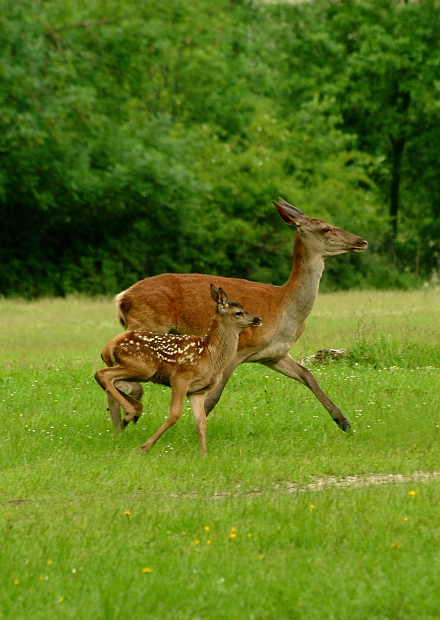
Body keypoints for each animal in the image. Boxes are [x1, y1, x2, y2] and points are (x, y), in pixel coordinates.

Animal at [94, 286, 262, 456]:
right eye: (239, 312)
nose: (258, 319)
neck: (209, 354)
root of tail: (109, 346)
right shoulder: (180, 379)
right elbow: (174, 415)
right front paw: (145, 447)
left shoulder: (197, 391)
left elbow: (201, 422)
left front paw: (204, 455)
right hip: (142, 367)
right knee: (102, 374)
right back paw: (130, 413)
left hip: (136, 370)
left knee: (109, 379)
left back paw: (135, 410)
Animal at [110, 200, 368, 436]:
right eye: (325, 228)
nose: (361, 241)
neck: (284, 309)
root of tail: (122, 299)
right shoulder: (238, 348)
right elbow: (213, 397)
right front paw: (193, 431)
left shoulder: (274, 354)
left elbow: (308, 375)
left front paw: (344, 421)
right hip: (148, 326)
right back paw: (126, 418)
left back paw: (119, 426)